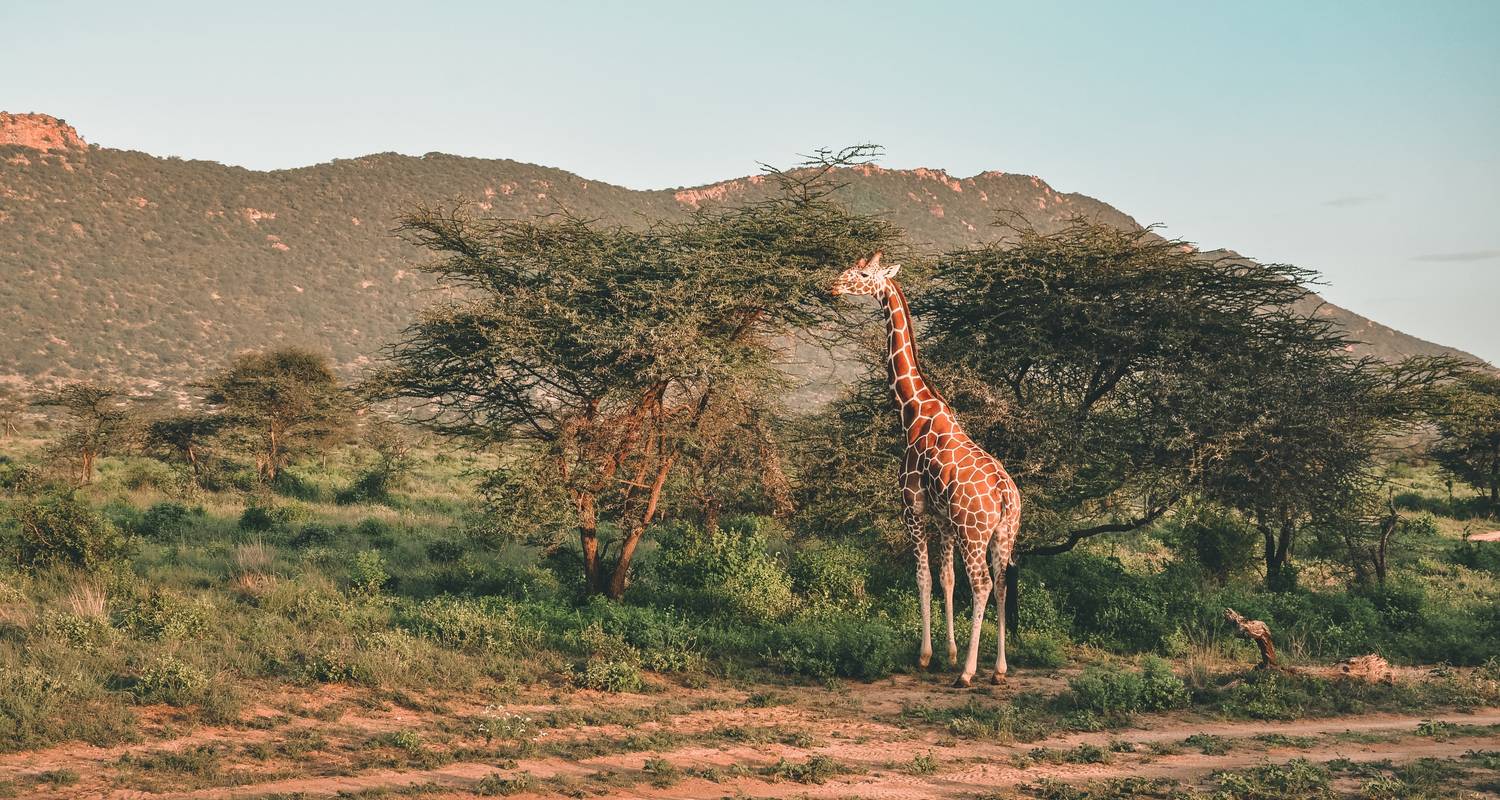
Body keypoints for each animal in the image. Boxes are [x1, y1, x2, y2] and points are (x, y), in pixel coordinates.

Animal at [828, 250, 1026, 687]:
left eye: (862, 274)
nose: (833, 286)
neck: (912, 411)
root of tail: (1006, 495)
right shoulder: (943, 520)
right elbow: (947, 580)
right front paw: (949, 653)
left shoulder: (913, 510)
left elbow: (923, 578)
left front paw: (927, 656)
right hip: (1004, 534)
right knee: (1003, 584)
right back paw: (999, 669)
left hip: (974, 533)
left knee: (983, 584)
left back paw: (969, 673)